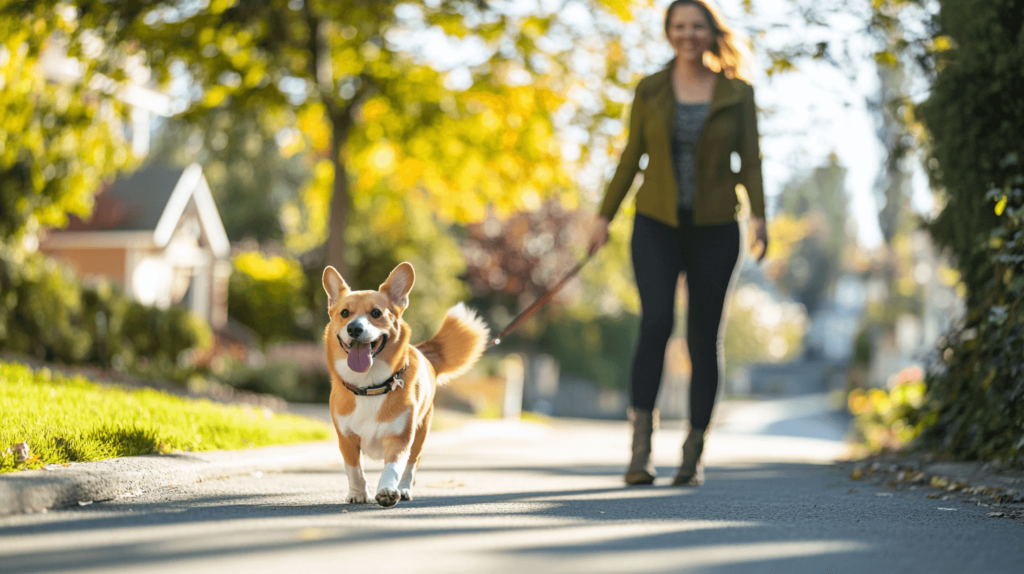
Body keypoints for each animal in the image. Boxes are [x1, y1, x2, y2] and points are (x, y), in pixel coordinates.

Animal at [323, 260, 491, 505]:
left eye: (376, 313)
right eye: (344, 313)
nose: (354, 328)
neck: (370, 386)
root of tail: (422, 350)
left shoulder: (400, 438)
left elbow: (393, 467)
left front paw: (387, 490)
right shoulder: (346, 438)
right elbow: (354, 470)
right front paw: (357, 493)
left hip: (421, 433)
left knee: (411, 465)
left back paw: (403, 489)